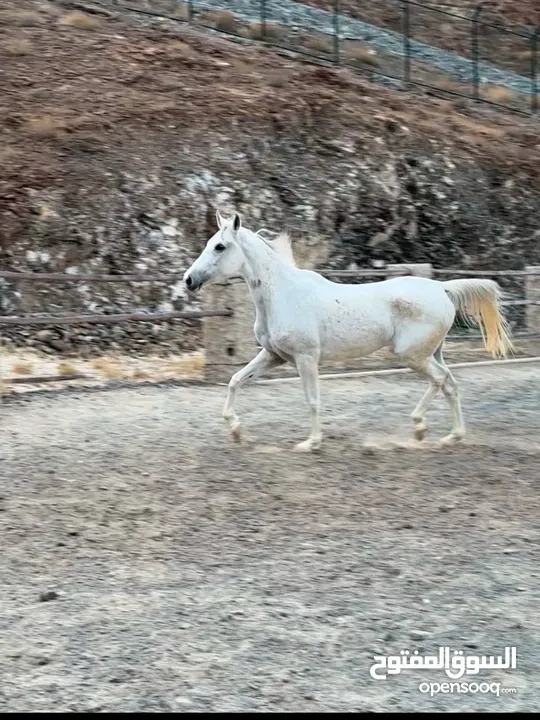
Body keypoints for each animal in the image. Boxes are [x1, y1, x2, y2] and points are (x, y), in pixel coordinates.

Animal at [186, 211, 516, 452]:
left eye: (220, 246)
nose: (189, 280)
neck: (282, 294)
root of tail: (441, 287)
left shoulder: (306, 358)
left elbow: (312, 400)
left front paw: (310, 443)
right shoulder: (273, 356)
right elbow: (235, 380)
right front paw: (235, 430)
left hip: (411, 355)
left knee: (439, 381)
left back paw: (420, 428)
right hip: (432, 352)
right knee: (451, 384)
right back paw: (452, 437)